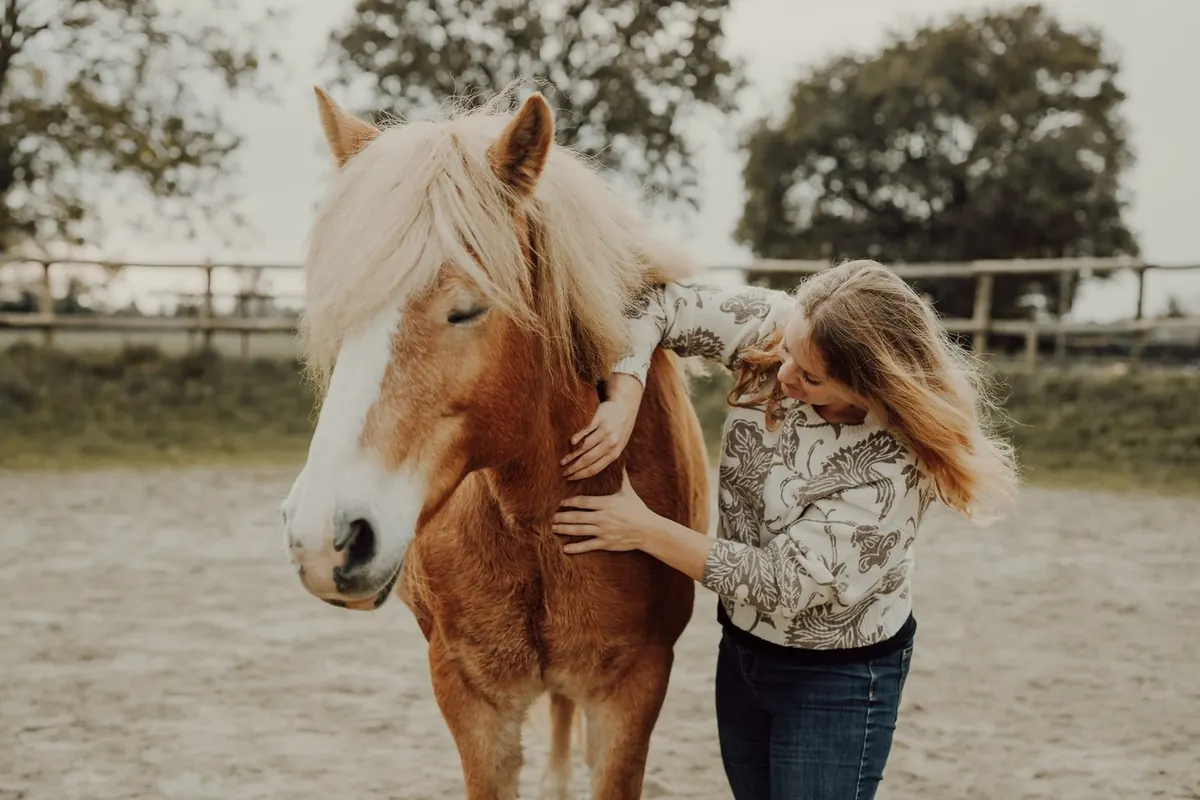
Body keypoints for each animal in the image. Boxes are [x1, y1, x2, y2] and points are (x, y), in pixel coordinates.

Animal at [280, 85, 712, 799]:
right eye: (338, 313)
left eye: (467, 308)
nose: (323, 537)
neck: (535, 520)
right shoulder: (470, 698)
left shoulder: (632, 693)